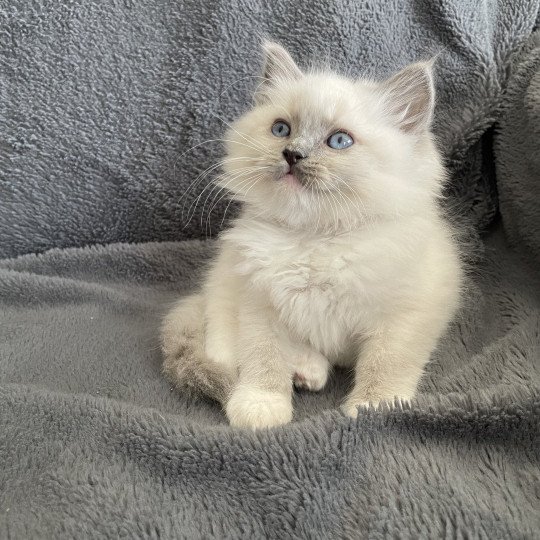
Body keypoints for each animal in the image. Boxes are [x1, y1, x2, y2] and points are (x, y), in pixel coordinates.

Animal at [159, 41, 460, 430]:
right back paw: (304, 371)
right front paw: (260, 406)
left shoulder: (405, 314)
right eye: (281, 130)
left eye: (340, 140)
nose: (292, 154)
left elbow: (385, 364)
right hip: (224, 284)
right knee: (225, 347)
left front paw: (374, 407)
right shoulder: (259, 303)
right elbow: (263, 360)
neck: (316, 238)